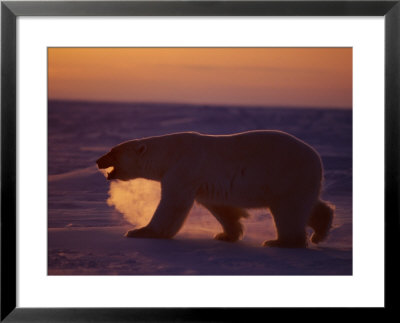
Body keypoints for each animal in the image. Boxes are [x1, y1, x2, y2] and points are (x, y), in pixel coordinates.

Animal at [97, 131, 334, 248]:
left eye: (113, 152)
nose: (98, 160)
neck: (170, 152)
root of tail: (317, 157)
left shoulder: (184, 169)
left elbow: (172, 205)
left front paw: (140, 231)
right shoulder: (204, 182)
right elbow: (221, 207)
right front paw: (225, 235)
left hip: (287, 174)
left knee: (288, 210)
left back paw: (280, 242)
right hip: (300, 181)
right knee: (308, 205)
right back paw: (320, 232)